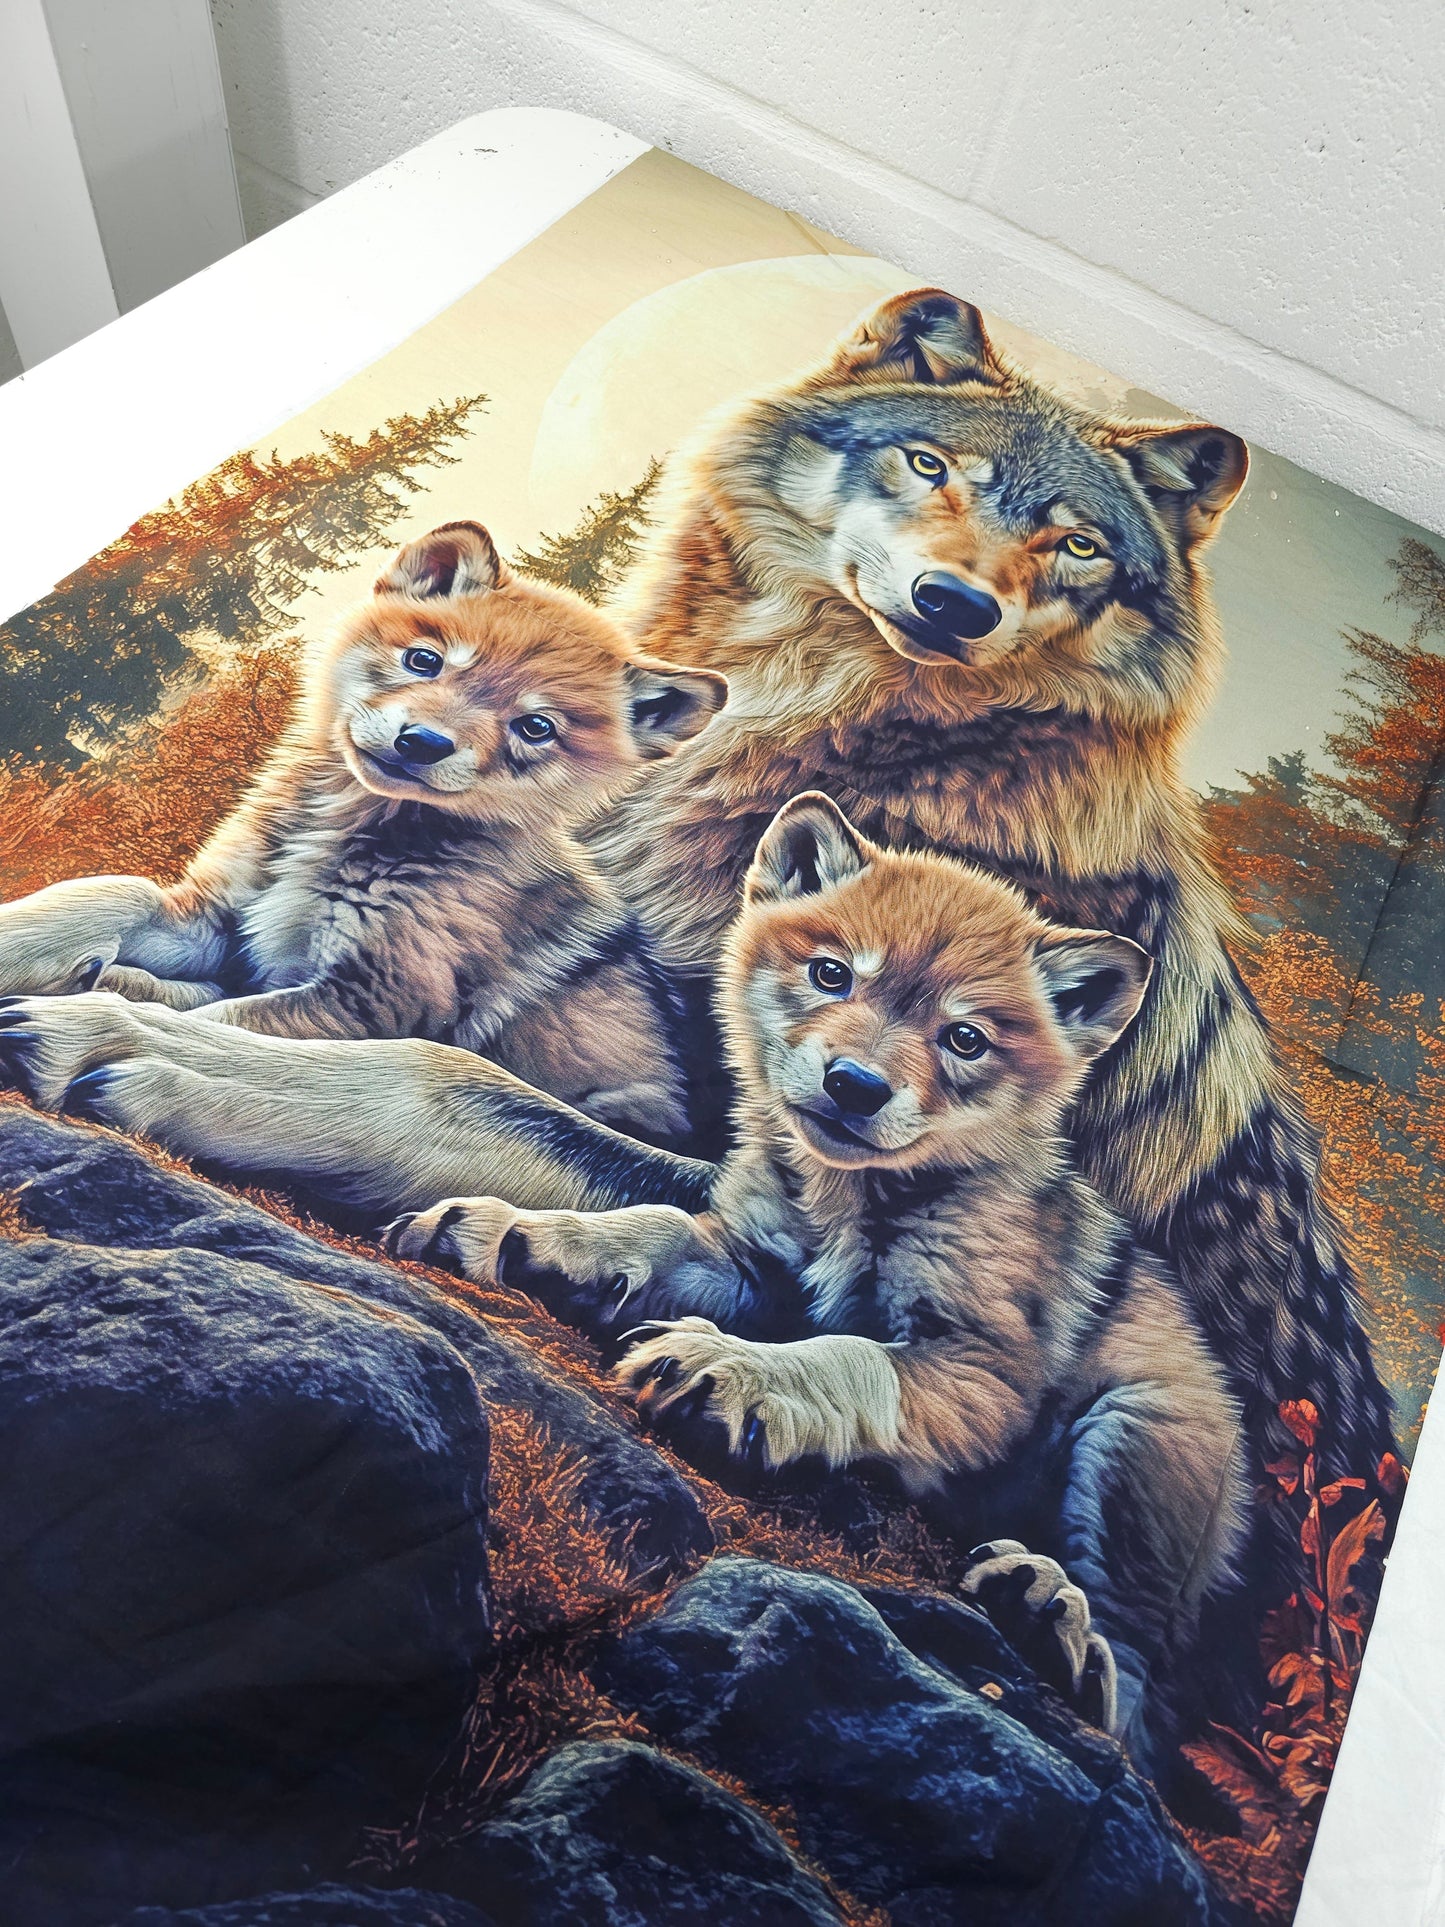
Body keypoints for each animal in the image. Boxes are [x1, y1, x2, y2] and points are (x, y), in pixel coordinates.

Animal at [0, 521, 725, 1143]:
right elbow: (114, 891)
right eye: (425, 660)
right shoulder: (215, 920)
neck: (339, 832)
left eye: (536, 727)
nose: (423, 742)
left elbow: (216, 1027)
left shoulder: (369, 1002)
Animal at [386, 794, 1248, 1762]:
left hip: (1133, 1441)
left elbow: (848, 1355)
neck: (847, 1199)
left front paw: (732, 1370)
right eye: (833, 974)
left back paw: (1051, 1624)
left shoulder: (978, 1371)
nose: (855, 1084)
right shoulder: (745, 1259)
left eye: (964, 1039)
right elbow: (646, 1228)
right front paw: (513, 1233)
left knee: (1134, 1685)